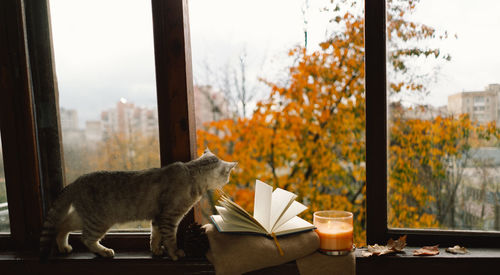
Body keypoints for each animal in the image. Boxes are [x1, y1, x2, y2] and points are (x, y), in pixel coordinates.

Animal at [40, 149, 235, 260]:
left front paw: (156, 250)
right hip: (99, 220)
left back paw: (64, 246)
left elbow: (155, 236)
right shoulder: (169, 217)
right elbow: (170, 239)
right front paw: (174, 253)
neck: (190, 172)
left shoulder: (158, 218)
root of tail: (76, 182)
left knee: (62, 226)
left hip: (84, 217)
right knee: (86, 238)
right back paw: (104, 251)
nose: (228, 181)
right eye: (227, 175)